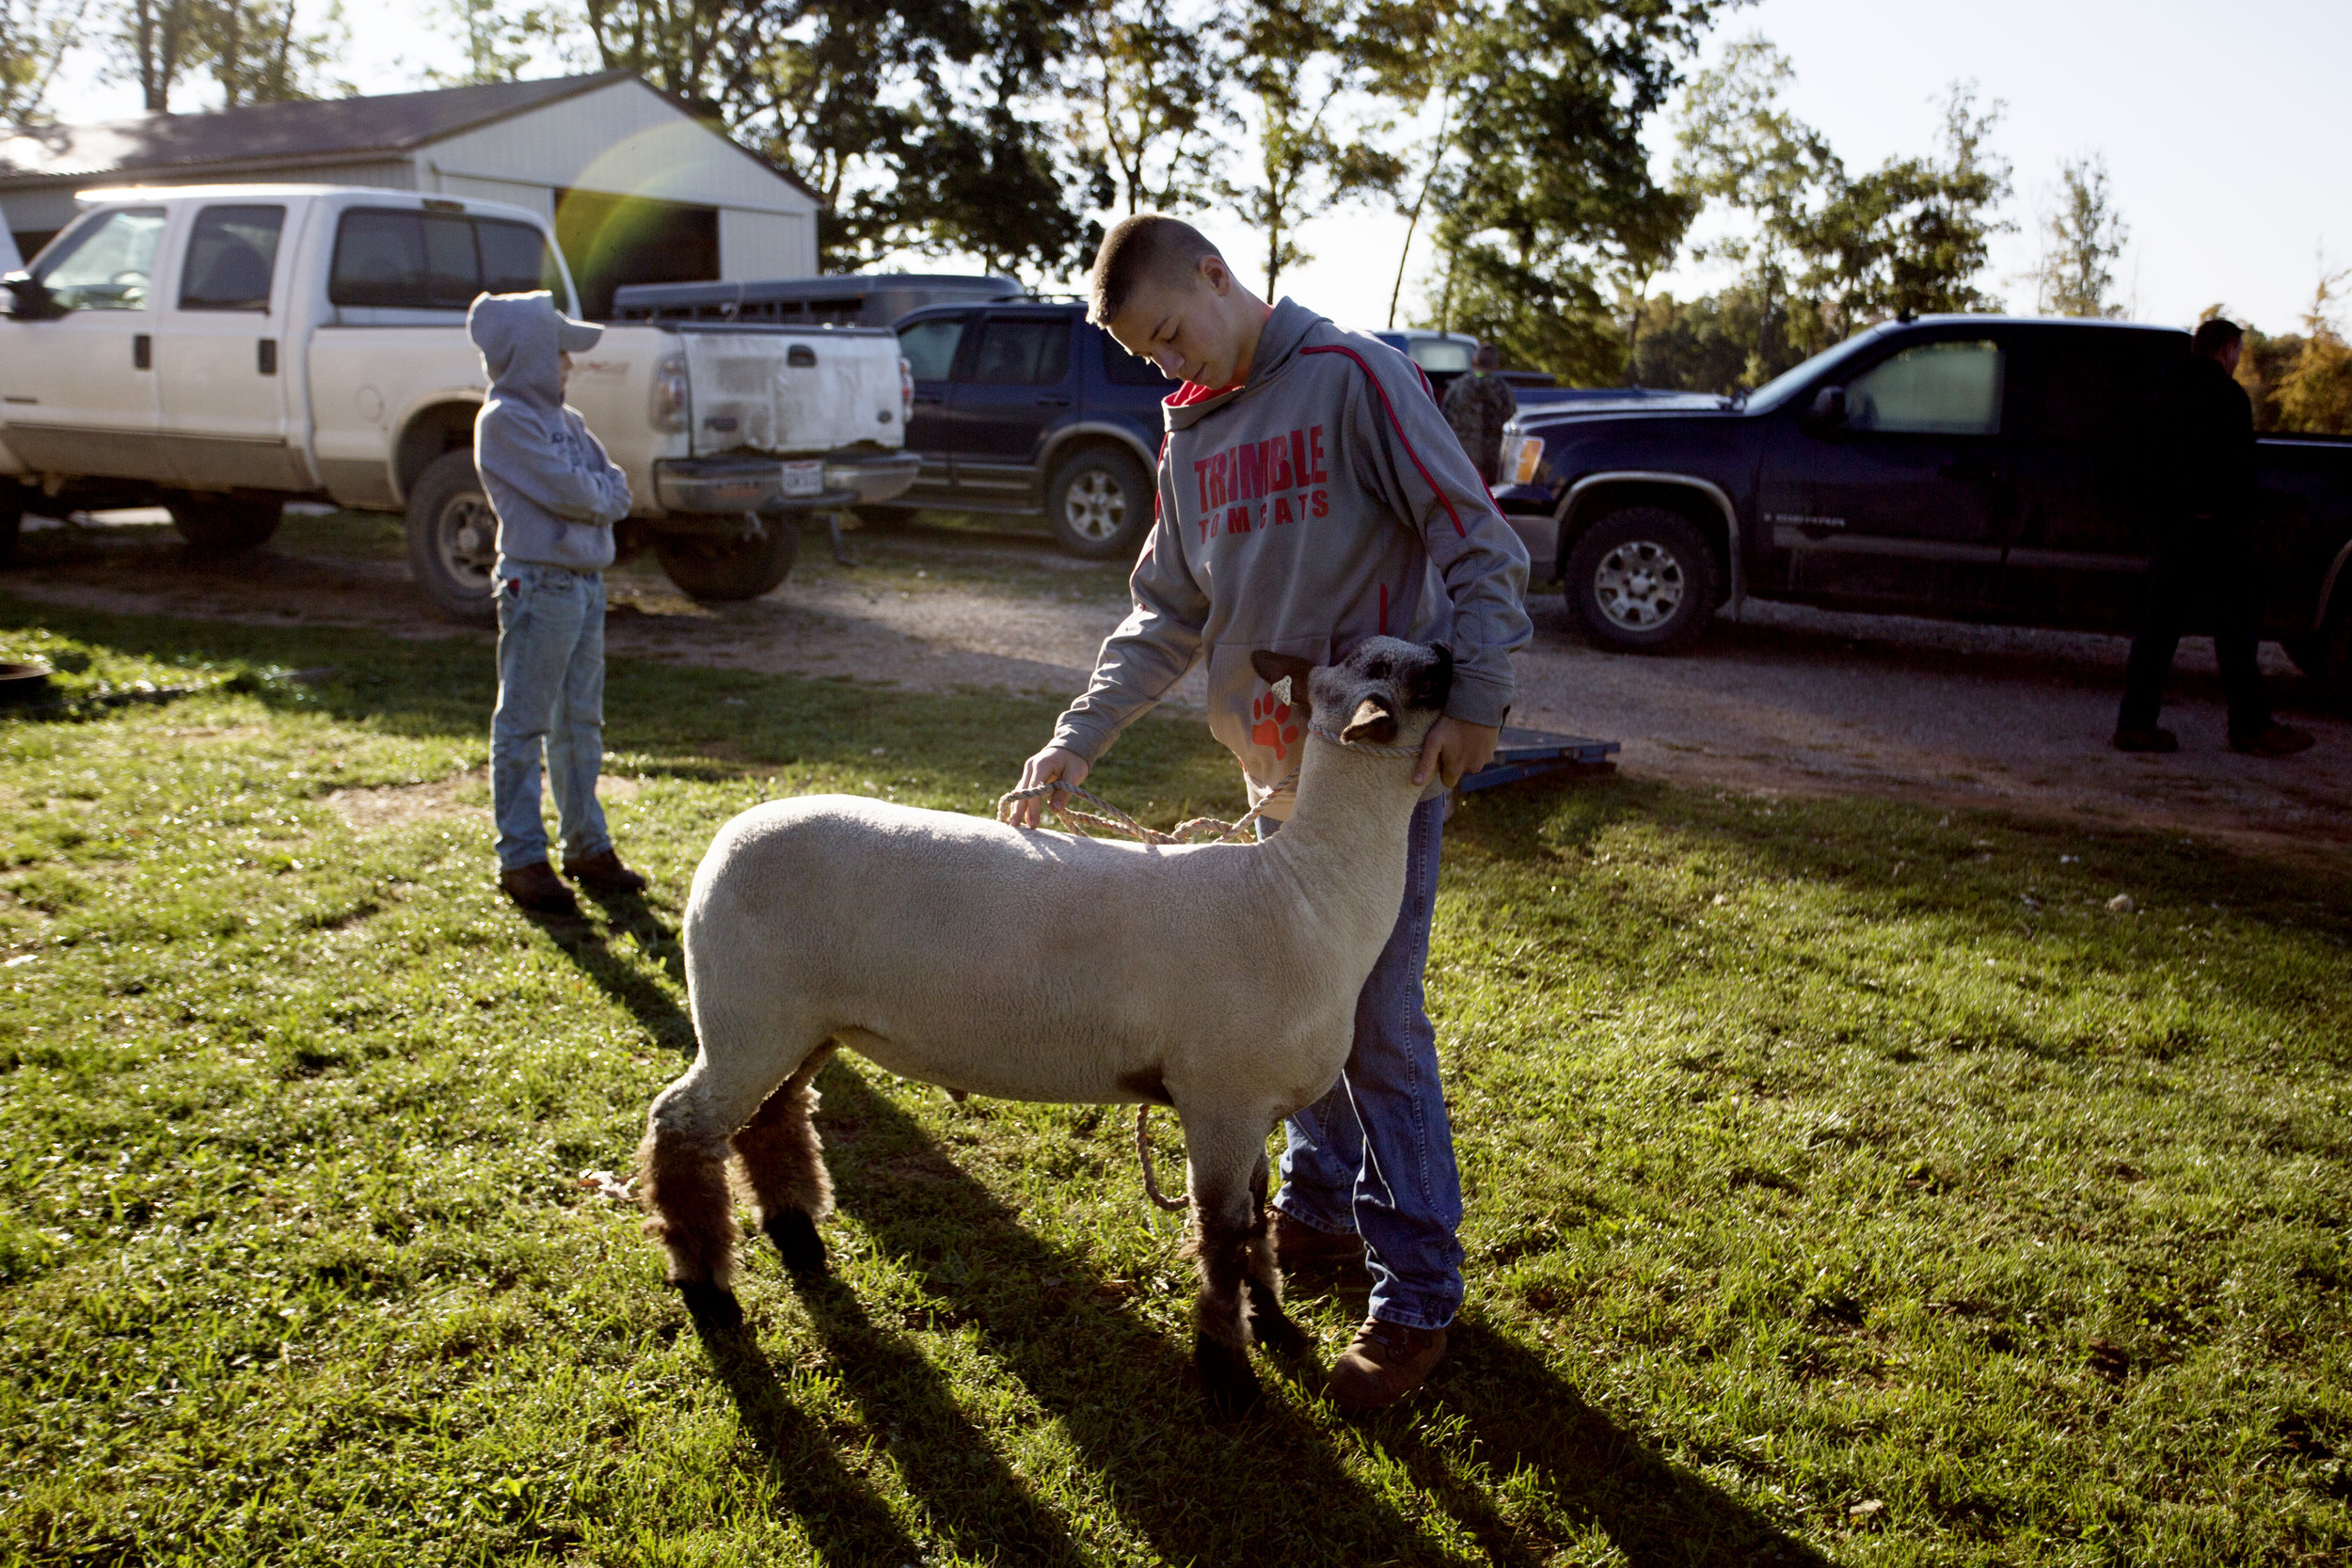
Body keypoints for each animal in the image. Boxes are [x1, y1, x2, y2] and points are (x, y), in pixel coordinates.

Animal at [640, 634, 1449, 1410]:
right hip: (748, 1015)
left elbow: (1254, 1223)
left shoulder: (1250, 1107)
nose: (1451, 657)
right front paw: (1229, 1374)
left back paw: (798, 1237)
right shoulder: (1221, 1098)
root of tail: (726, 838)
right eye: (1398, 669)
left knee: (771, 1119)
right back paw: (709, 1291)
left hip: (807, 1022)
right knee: (681, 1125)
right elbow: (1223, 1236)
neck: (1305, 895)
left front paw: (1277, 1326)